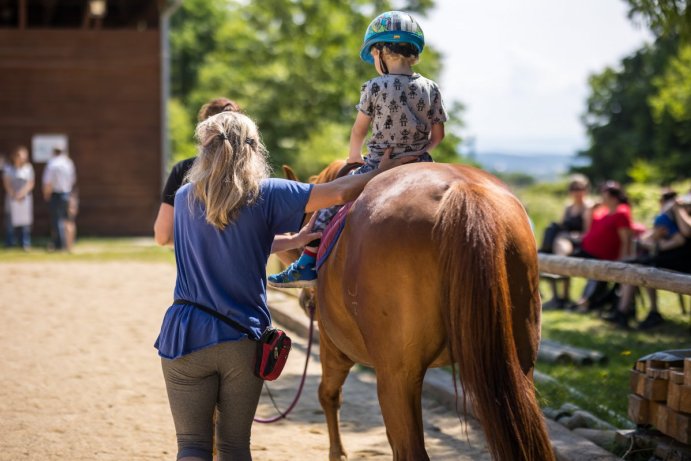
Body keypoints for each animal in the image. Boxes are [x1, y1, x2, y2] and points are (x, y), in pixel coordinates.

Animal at [282, 160, 552, 458]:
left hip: (397, 376)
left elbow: (328, 395)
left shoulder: (335, 347)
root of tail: (464, 191)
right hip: (518, 364)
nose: (306, 301)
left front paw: (337, 453)